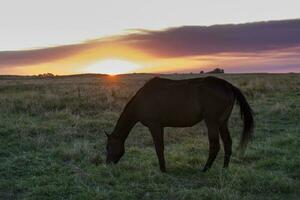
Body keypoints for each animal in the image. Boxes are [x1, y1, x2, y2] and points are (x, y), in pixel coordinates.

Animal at [105, 76, 253, 173]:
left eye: (108, 147)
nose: (107, 164)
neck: (141, 100)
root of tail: (227, 86)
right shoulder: (160, 127)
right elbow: (161, 147)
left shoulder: (154, 126)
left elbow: (158, 148)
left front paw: (163, 170)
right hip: (222, 122)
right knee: (228, 143)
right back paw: (224, 169)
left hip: (211, 122)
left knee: (215, 145)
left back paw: (205, 169)